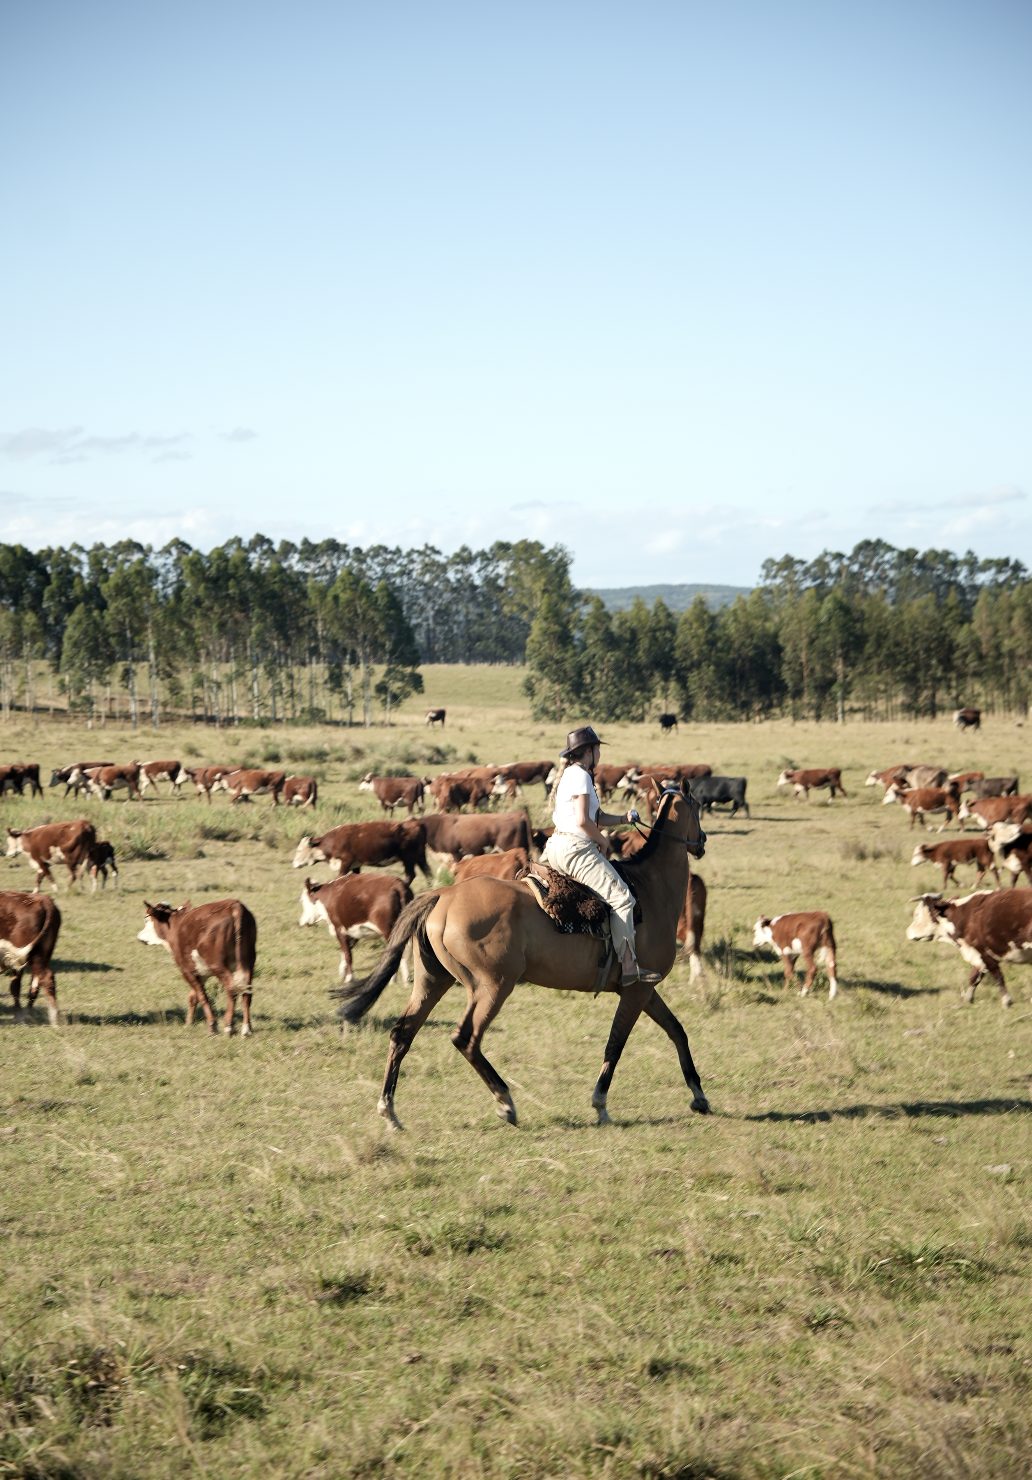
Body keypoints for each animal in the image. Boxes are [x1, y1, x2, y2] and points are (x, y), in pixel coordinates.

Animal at [0, 891, 61, 1024]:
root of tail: (43, 900)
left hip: (29, 955)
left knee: (43, 978)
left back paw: (53, 1019)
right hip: (42, 954)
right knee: (32, 984)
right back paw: (26, 1015)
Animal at [137, 898, 257, 1035]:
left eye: (146, 920)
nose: (139, 936)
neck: (176, 927)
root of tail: (235, 905)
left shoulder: (186, 970)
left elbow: (202, 995)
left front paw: (212, 1025)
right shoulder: (201, 972)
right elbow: (193, 996)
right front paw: (189, 1023)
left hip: (218, 966)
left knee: (231, 989)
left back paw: (229, 1026)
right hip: (248, 962)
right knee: (247, 992)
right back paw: (247, 1028)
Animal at [292, 820, 430, 885]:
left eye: (299, 850)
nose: (294, 864)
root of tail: (416, 823)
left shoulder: (345, 862)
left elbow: (339, 877)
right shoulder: (356, 864)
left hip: (408, 858)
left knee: (410, 875)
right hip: (419, 856)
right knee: (427, 872)